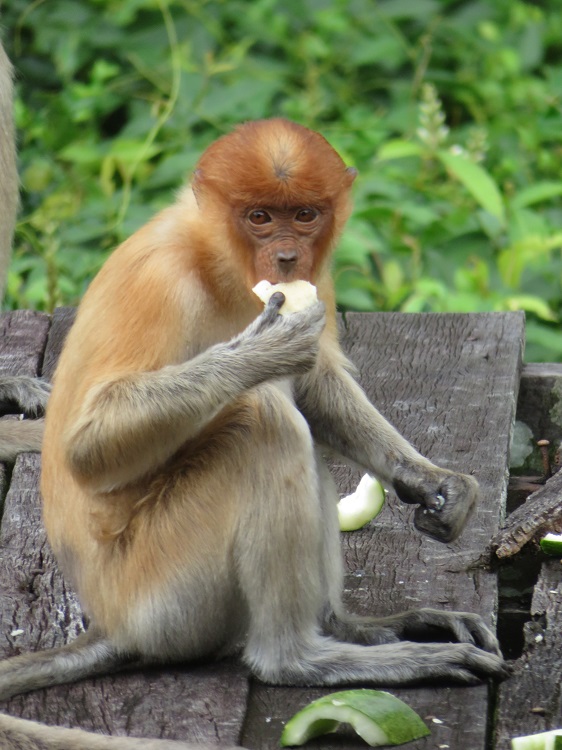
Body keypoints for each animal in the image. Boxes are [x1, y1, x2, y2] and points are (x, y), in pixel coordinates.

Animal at [0, 118, 510, 749]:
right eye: (260, 217)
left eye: (306, 214)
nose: (287, 258)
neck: (216, 263)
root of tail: (113, 623)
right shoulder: (157, 280)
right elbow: (85, 445)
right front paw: (266, 347)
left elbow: (316, 384)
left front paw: (435, 484)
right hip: (161, 597)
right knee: (262, 422)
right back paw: (302, 659)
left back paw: (360, 628)